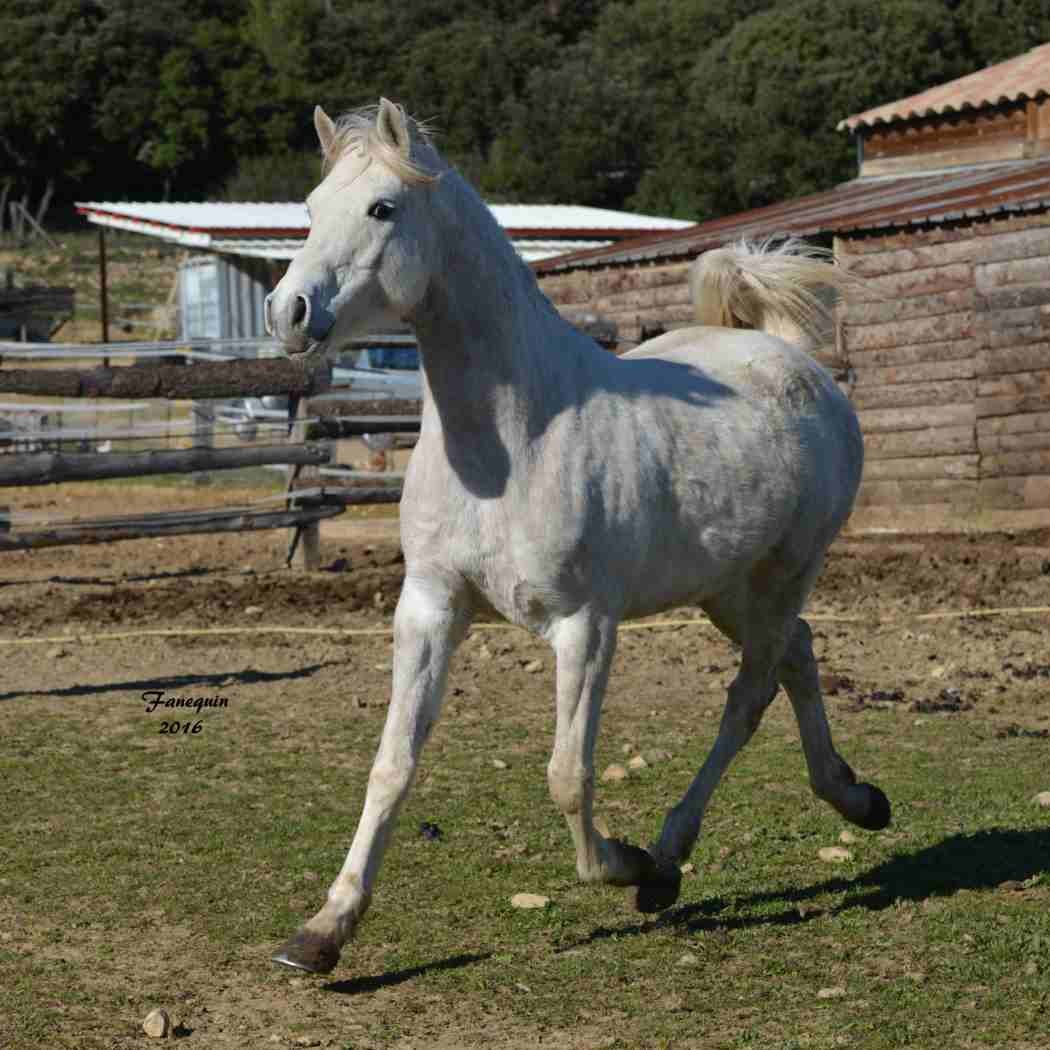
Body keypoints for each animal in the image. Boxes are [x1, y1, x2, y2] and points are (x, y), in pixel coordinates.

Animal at [264, 100, 886, 974]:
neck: (510, 443)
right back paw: (854, 797)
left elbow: (567, 775)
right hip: (728, 590)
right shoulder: (428, 609)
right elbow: (391, 765)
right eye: (313, 207)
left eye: (383, 208)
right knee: (797, 656)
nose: (288, 313)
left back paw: (669, 860)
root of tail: (794, 361)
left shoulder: (584, 627)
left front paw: (627, 863)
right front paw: (324, 931)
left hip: (786, 574)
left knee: (749, 696)